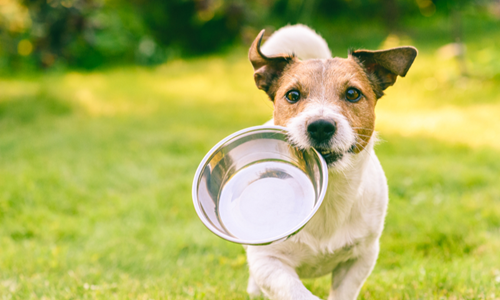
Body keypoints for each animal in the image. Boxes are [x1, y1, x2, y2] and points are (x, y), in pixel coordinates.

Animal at [244, 24, 416, 300]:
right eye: (292, 95)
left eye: (353, 93)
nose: (321, 126)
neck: (328, 192)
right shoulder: (268, 261)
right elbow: (295, 291)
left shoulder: (361, 258)